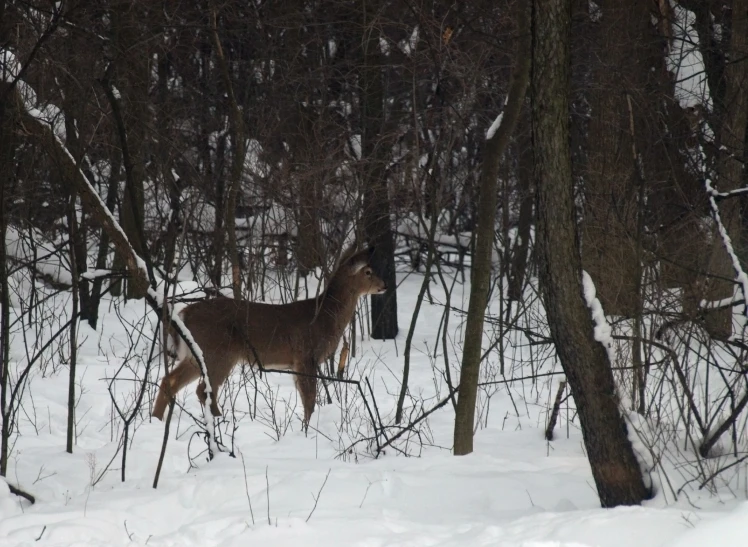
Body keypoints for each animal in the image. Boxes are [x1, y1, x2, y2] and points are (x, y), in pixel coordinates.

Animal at [152, 246, 386, 426]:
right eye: (368, 271)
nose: (384, 285)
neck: (324, 316)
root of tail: (184, 314)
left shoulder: (298, 362)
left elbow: (306, 398)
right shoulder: (305, 355)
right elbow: (309, 399)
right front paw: (307, 428)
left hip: (197, 353)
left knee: (170, 380)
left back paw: (156, 420)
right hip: (218, 352)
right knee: (204, 390)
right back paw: (221, 422)